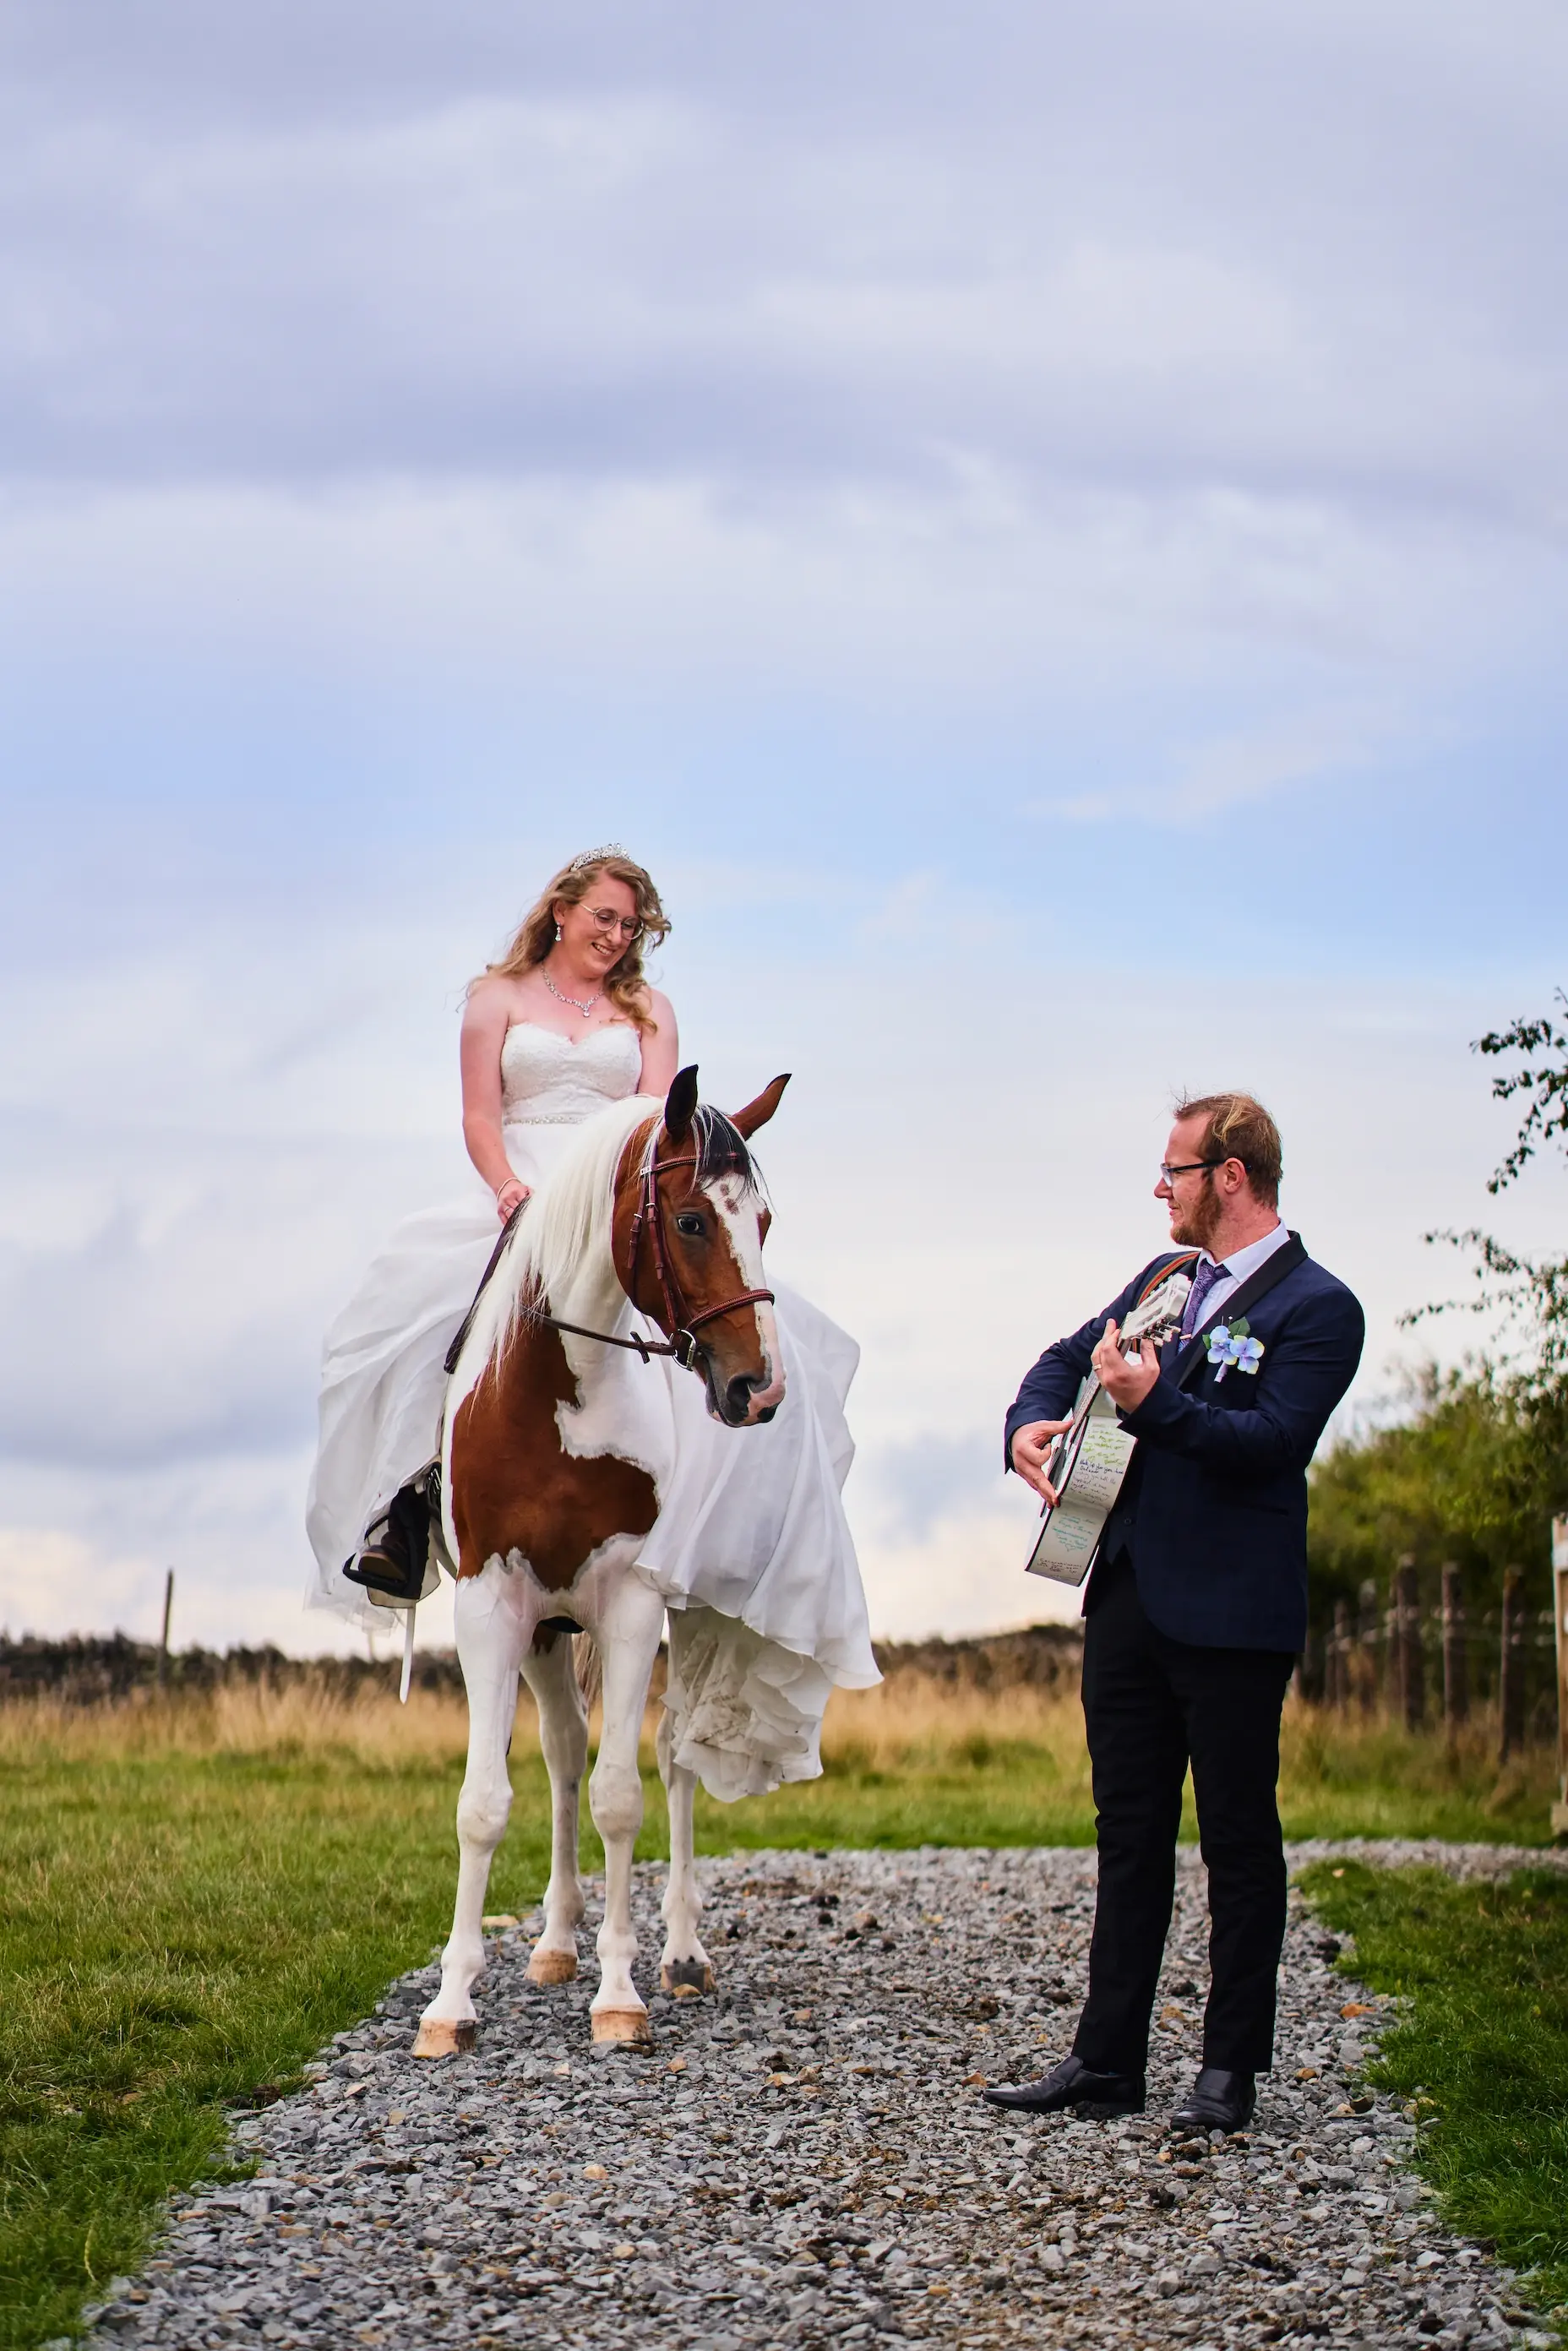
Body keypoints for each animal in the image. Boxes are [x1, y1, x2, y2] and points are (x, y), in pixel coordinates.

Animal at [413, 1067, 785, 2059]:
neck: (557, 1393)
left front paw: (620, 1996)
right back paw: (554, 1941)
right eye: (691, 1220)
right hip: (546, 1630)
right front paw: (451, 2003)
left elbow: (624, 1796)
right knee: (564, 1751)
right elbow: (484, 1800)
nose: (758, 1389)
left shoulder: (629, 1606)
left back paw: (683, 1953)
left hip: (680, 1621)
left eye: (765, 1221)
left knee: (675, 1756)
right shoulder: (492, 1605)